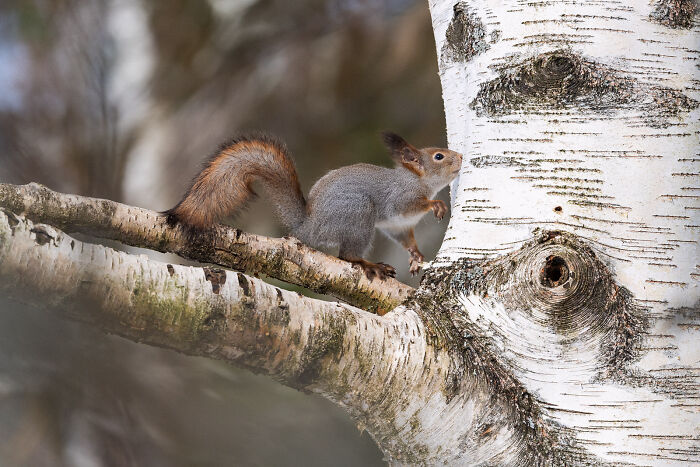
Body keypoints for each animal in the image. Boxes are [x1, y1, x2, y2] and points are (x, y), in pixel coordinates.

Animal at [164, 132, 462, 280]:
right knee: (347, 256)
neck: (420, 181)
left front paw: (416, 255)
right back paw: (368, 264)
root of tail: (308, 227)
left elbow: (405, 238)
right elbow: (411, 203)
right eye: (439, 156)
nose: (460, 156)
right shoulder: (400, 198)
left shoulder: (398, 225)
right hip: (358, 214)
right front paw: (435, 204)